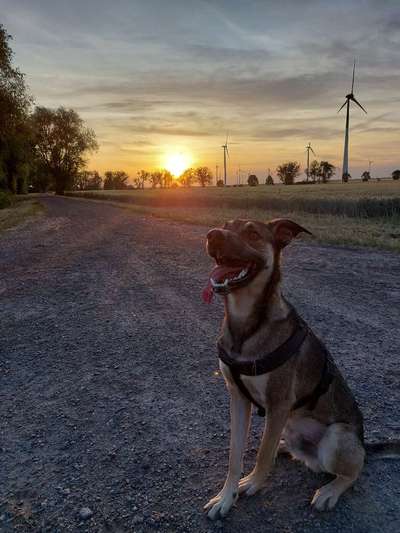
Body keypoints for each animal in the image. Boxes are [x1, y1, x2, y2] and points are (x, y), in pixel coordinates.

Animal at [202, 217, 368, 520]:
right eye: (225, 225)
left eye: (252, 234)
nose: (213, 235)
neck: (247, 325)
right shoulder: (237, 398)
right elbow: (235, 456)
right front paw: (226, 497)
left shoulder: (278, 403)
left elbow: (261, 455)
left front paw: (252, 483)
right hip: (290, 422)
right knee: (284, 445)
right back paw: (284, 447)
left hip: (335, 437)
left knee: (353, 472)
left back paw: (329, 491)